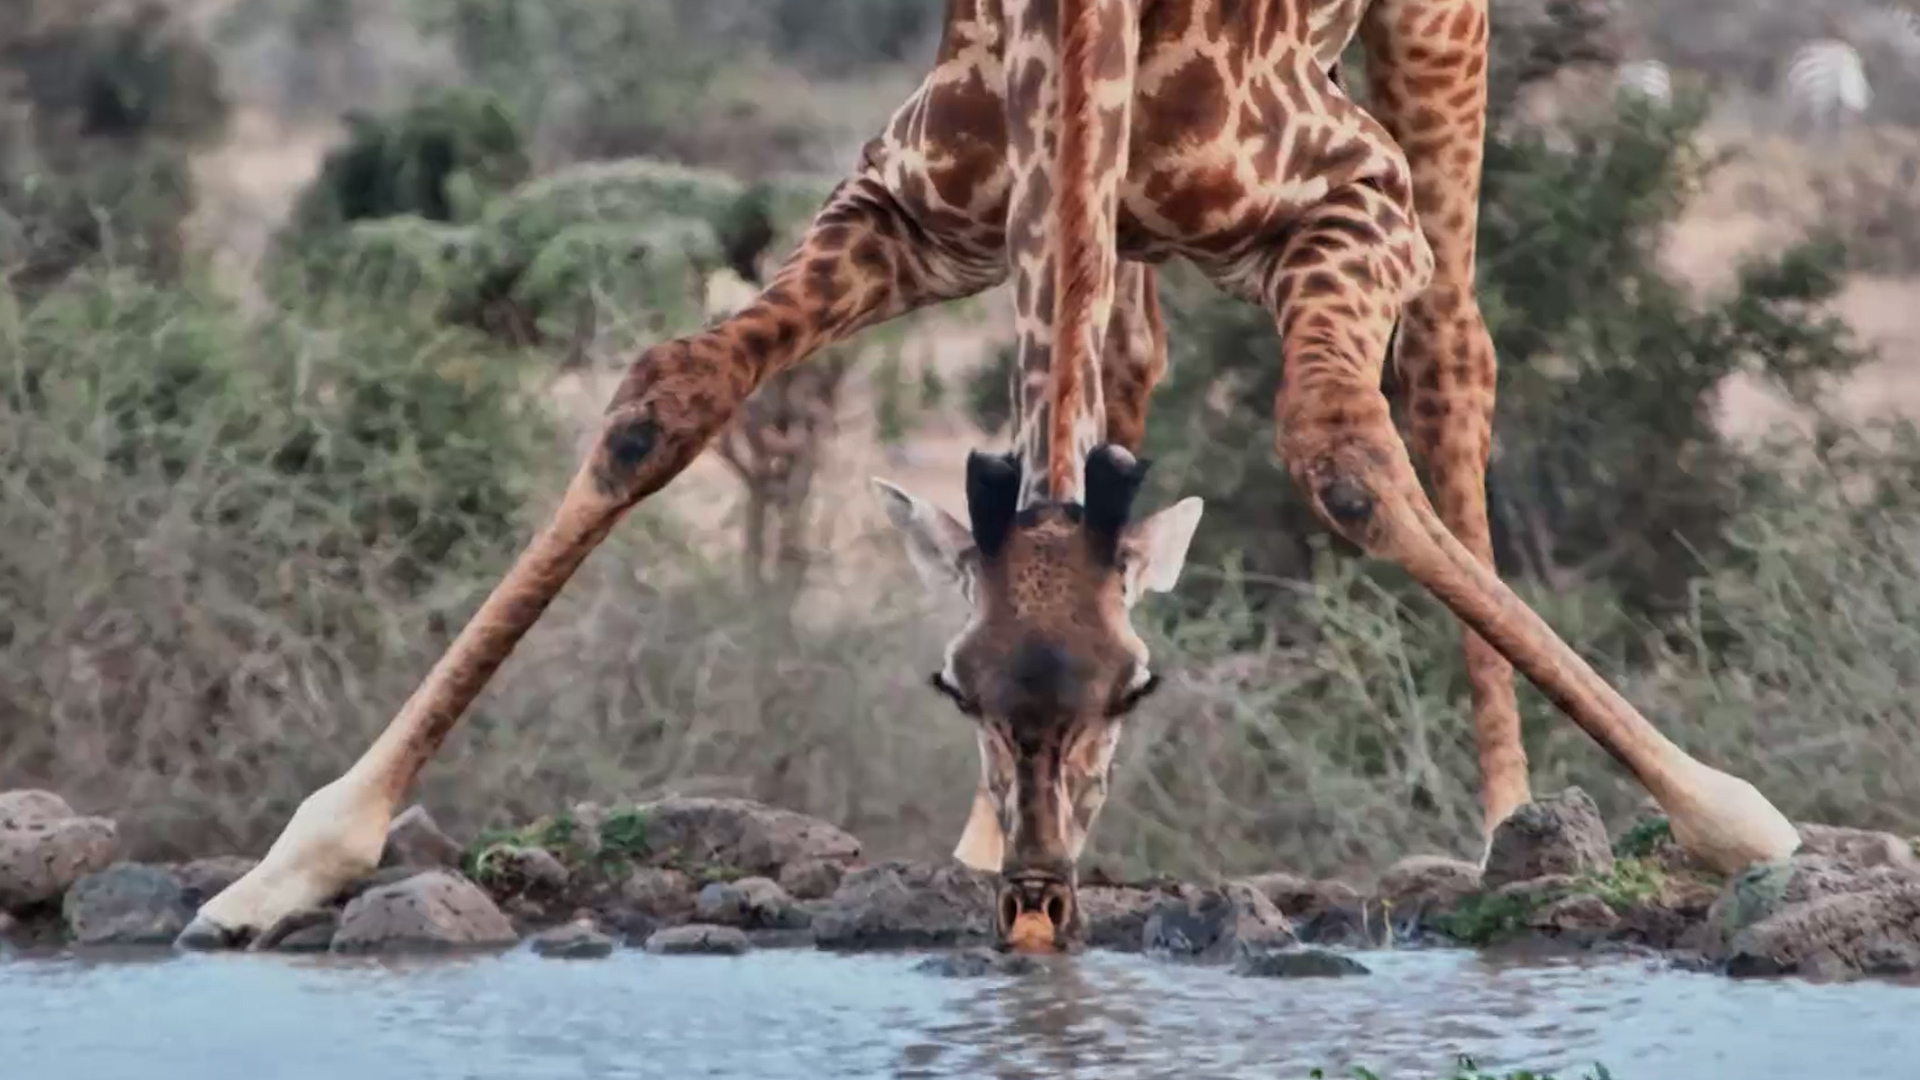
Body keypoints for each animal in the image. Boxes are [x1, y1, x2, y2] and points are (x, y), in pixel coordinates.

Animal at [179, 0, 1802, 952]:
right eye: (949, 689)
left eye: (1140, 690)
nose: (1034, 909)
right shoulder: (909, 205)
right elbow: (661, 402)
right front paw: (285, 867)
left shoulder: (1351, 200)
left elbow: (1342, 459)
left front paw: (1736, 820)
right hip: (1114, 225)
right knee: (1119, 375)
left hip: (1434, 52)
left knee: (1454, 356)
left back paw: (1501, 821)